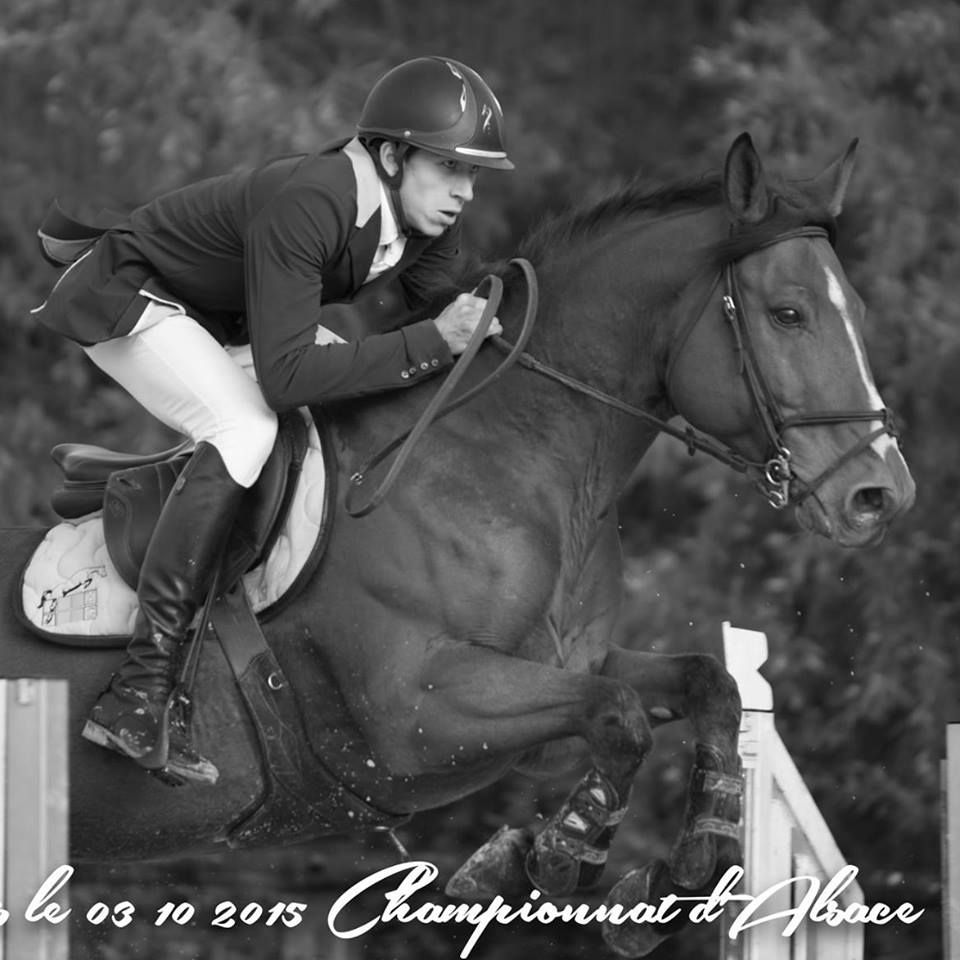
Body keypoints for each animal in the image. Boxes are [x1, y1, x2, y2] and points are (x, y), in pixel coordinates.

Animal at [0, 133, 914, 957]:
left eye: (859, 315)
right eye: (787, 313)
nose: (880, 496)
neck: (513, 458)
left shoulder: (563, 669)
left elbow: (705, 686)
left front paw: (673, 867)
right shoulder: (413, 714)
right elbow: (619, 719)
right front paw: (556, 853)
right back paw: (136, 722)